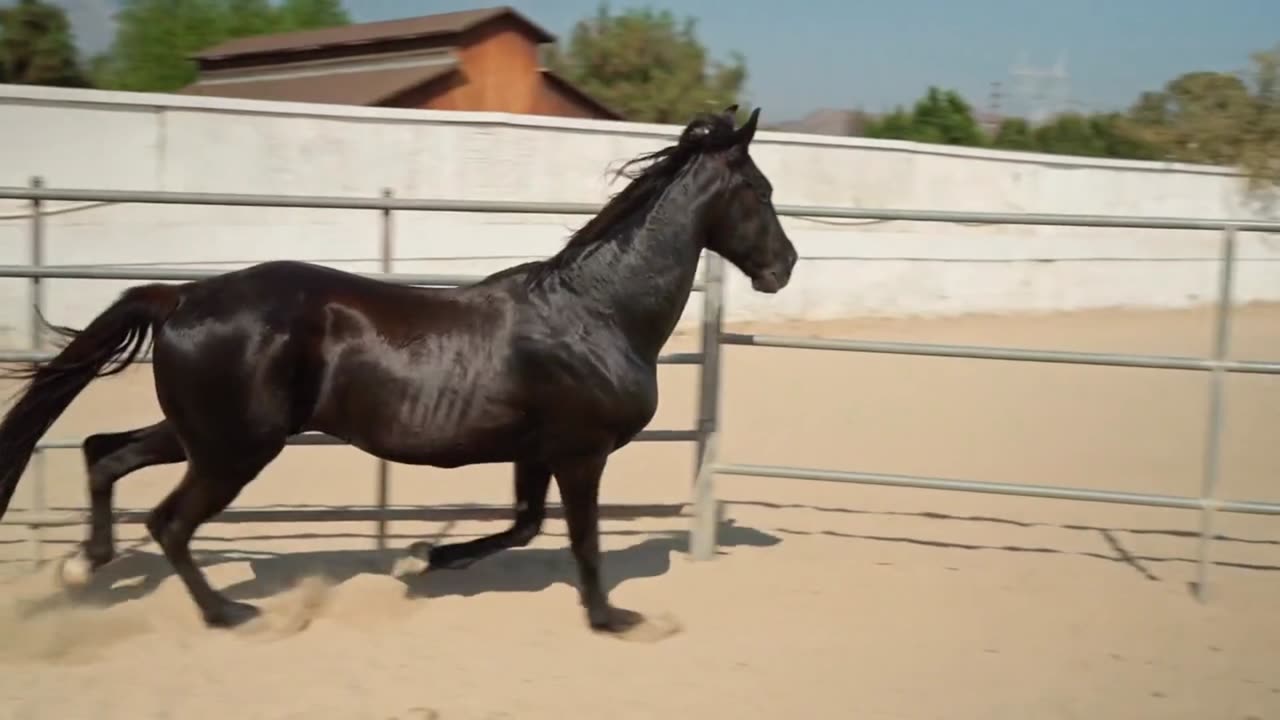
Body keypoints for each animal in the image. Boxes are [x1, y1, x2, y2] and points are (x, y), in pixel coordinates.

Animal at [0, 105, 793, 632]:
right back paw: (229, 612)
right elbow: (582, 541)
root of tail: (183, 296)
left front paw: (424, 557)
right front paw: (614, 618)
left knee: (105, 454)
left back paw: (82, 566)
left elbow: (523, 527)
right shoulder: (581, 453)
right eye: (761, 192)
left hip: (203, 433)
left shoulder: (537, 451)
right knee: (167, 521)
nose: (783, 268)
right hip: (234, 450)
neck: (597, 313)